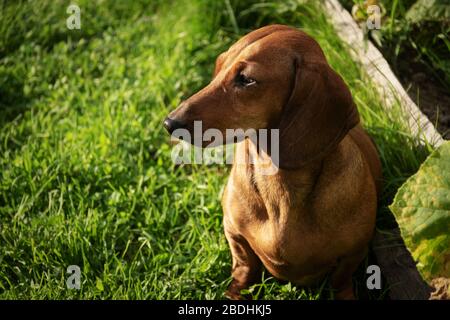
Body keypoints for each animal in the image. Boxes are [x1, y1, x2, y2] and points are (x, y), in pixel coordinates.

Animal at [163, 25, 382, 300]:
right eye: (219, 65)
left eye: (246, 79)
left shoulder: (354, 252)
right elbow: (244, 265)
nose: (170, 123)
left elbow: (340, 281)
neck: (279, 184)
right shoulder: (233, 232)